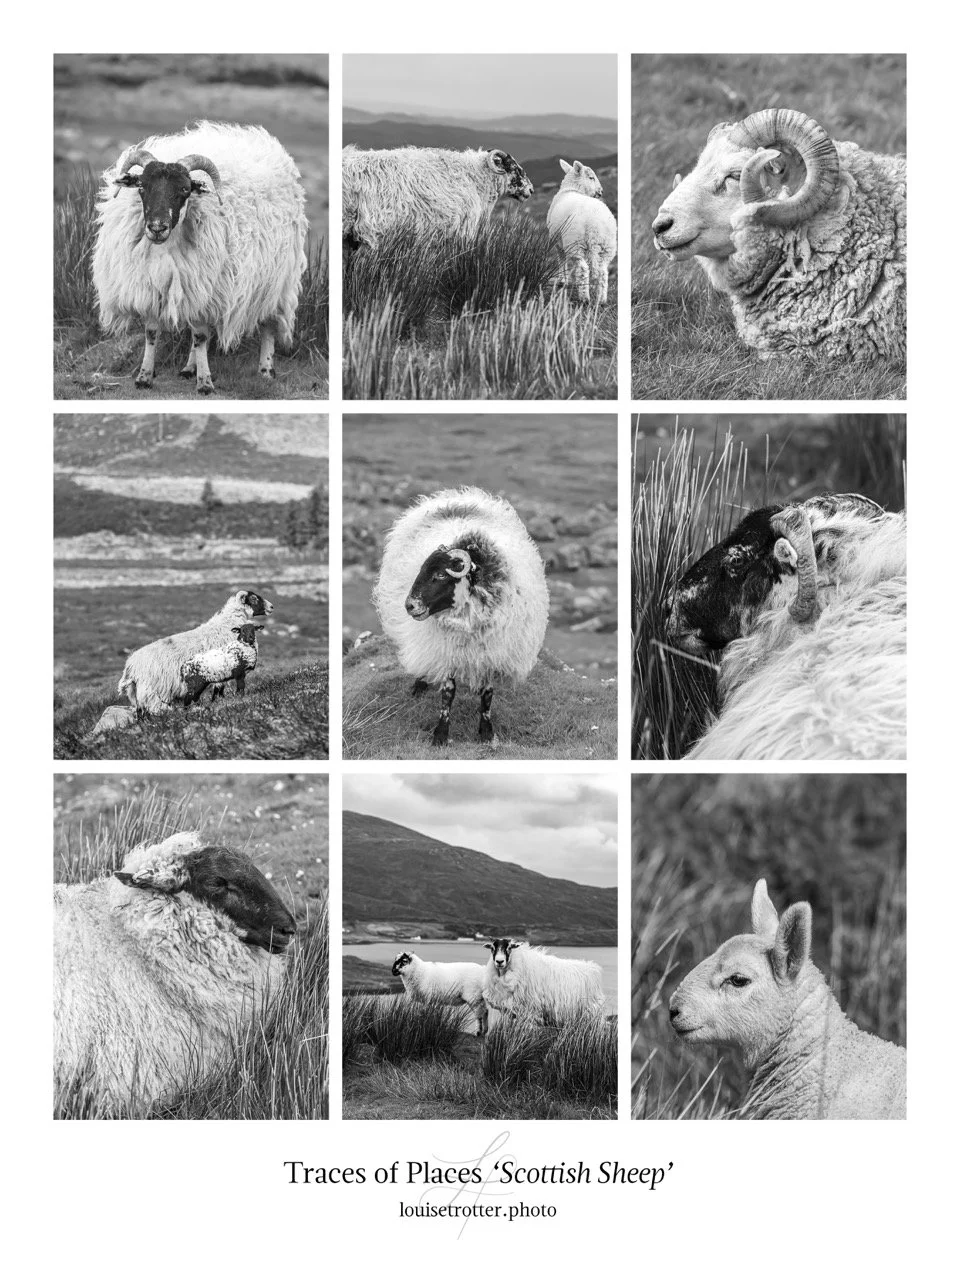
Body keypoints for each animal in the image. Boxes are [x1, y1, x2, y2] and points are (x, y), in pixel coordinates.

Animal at [92, 121, 308, 394]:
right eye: (142, 186)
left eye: (185, 190)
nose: (157, 227)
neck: (167, 246)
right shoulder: (155, 284)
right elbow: (153, 333)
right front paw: (144, 376)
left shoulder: (205, 281)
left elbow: (201, 336)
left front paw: (205, 383)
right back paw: (189, 367)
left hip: (277, 278)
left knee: (268, 323)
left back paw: (266, 370)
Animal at [118, 590, 273, 715]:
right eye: (253, 598)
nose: (272, 606)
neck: (227, 624)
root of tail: (130, 665)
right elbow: (219, 688)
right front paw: (219, 700)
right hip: (152, 690)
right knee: (153, 708)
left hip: (137, 693)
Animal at [372, 486, 549, 748]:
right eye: (421, 569)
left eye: (440, 575)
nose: (409, 605)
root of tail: (457, 496)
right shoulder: (447, 651)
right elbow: (448, 693)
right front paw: (440, 735)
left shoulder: (492, 653)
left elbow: (487, 695)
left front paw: (486, 733)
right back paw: (419, 685)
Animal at [547, 159, 617, 304]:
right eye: (591, 177)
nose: (601, 191)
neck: (572, 189)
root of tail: (595, 225)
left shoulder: (557, 242)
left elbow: (562, 259)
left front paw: (563, 280)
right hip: (607, 247)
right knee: (603, 272)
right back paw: (601, 299)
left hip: (576, 242)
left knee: (583, 268)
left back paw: (584, 297)